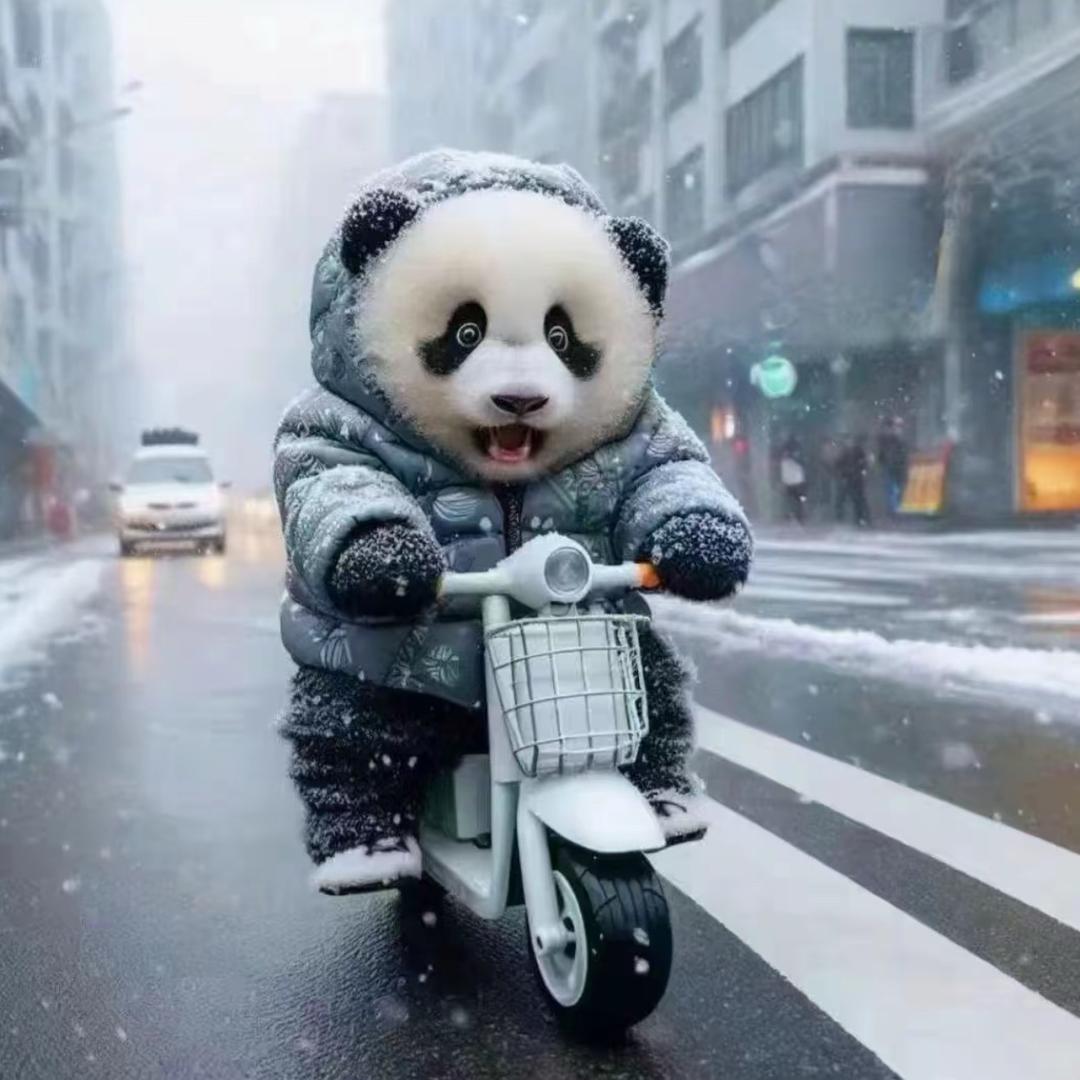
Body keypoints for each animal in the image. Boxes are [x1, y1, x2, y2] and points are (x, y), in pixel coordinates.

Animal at [274, 150, 753, 894]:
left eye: (562, 337)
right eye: (465, 332)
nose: (520, 400)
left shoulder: (640, 429)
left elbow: (668, 464)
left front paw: (703, 549)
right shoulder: (335, 423)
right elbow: (328, 469)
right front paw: (387, 562)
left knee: (662, 691)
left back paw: (671, 803)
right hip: (366, 672)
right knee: (349, 732)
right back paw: (367, 854)